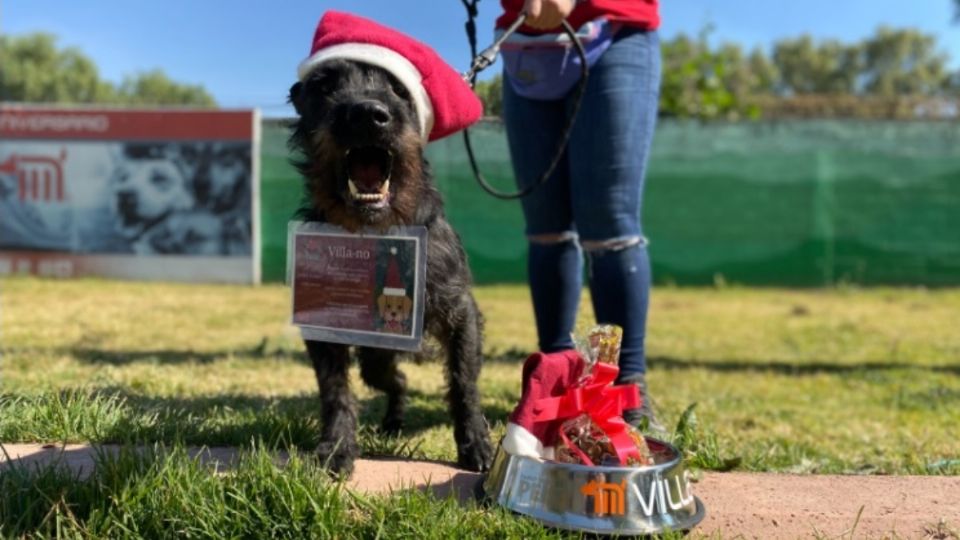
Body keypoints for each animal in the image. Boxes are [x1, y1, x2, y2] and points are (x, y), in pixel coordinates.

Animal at [286, 58, 496, 472]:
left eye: (399, 89)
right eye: (325, 85)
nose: (368, 114)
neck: (376, 229)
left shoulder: (460, 313)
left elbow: (464, 382)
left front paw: (475, 443)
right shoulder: (323, 323)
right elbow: (335, 390)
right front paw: (336, 445)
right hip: (376, 357)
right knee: (397, 380)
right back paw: (393, 421)